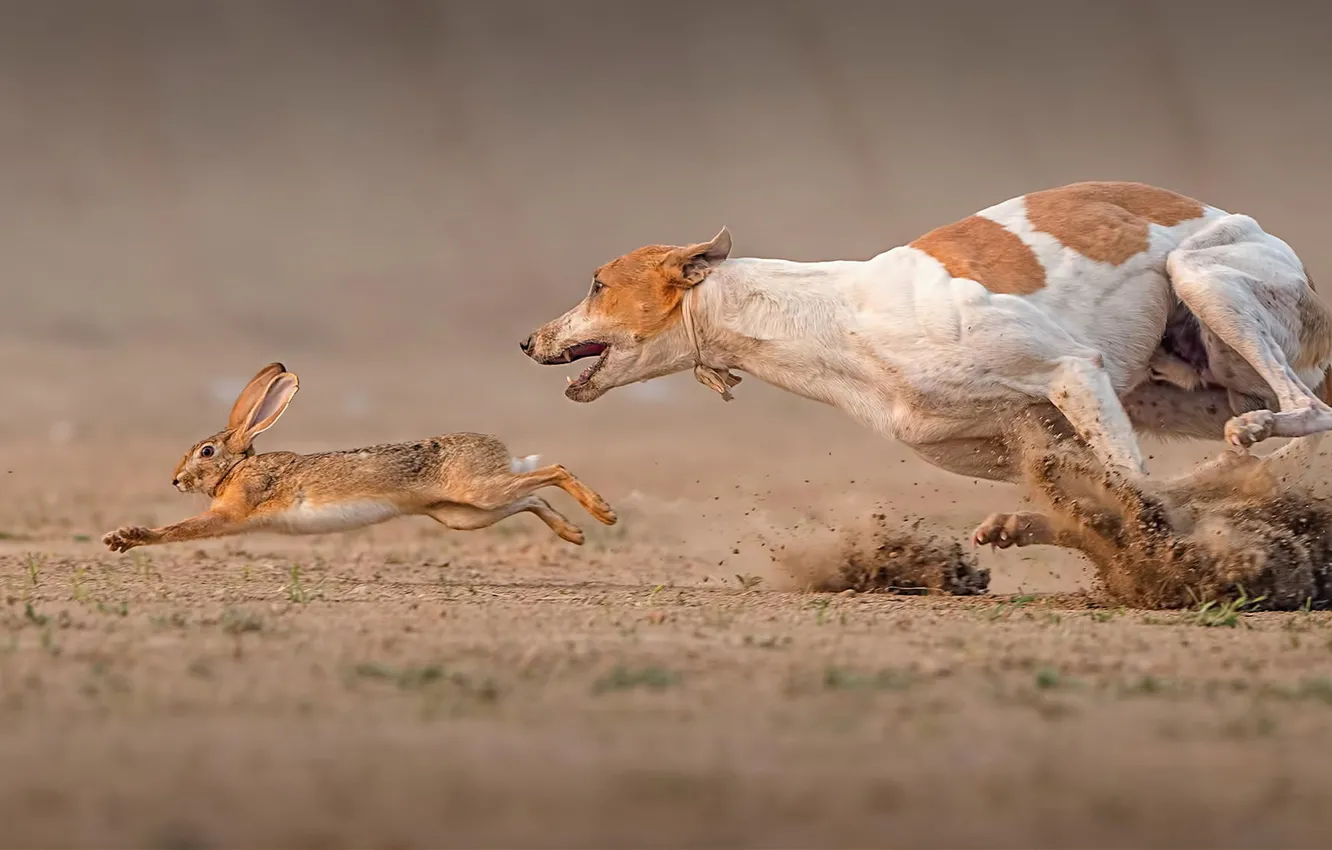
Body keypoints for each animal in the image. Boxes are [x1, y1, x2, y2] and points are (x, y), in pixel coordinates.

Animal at [516, 179, 1332, 554]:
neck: (835, 317)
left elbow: (1133, 490)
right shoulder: (1030, 434)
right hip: (1176, 390)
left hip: (1205, 280)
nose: (527, 342)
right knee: (1231, 459)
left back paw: (1261, 430)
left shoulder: (1073, 368)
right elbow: (1114, 494)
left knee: (1308, 412)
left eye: (597, 283)